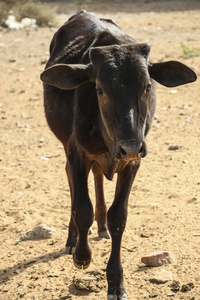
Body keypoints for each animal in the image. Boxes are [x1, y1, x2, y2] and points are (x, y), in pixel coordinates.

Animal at [40, 9, 195, 300]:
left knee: (99, 178)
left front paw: (115, 281)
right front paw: (82, 255)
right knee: (74, 183)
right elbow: (82, 208)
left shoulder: (133, 162)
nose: (130, 146)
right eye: (100, 89)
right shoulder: (77, 153)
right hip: (67, 146)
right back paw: (72, 238)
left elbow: (118, 216)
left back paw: (100, 227)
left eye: (147, 86)